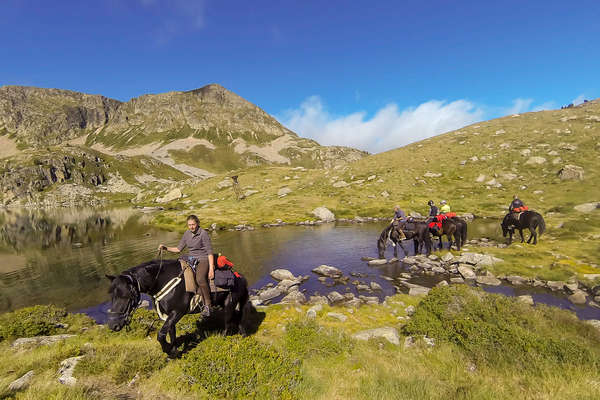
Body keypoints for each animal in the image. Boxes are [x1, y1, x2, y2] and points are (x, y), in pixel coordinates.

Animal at [106, 258, 248, 358]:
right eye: (111, 295)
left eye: (126, 295)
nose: (113, 325)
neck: (162, 282)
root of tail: (241, 278)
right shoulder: (168, 315)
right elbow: (171, 333)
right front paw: (175, 351)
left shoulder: (177, 312)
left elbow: (161, 335)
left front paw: (169, 351)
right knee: (237, 320)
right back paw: (243, 335)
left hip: (229, 305)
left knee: (228, 325)